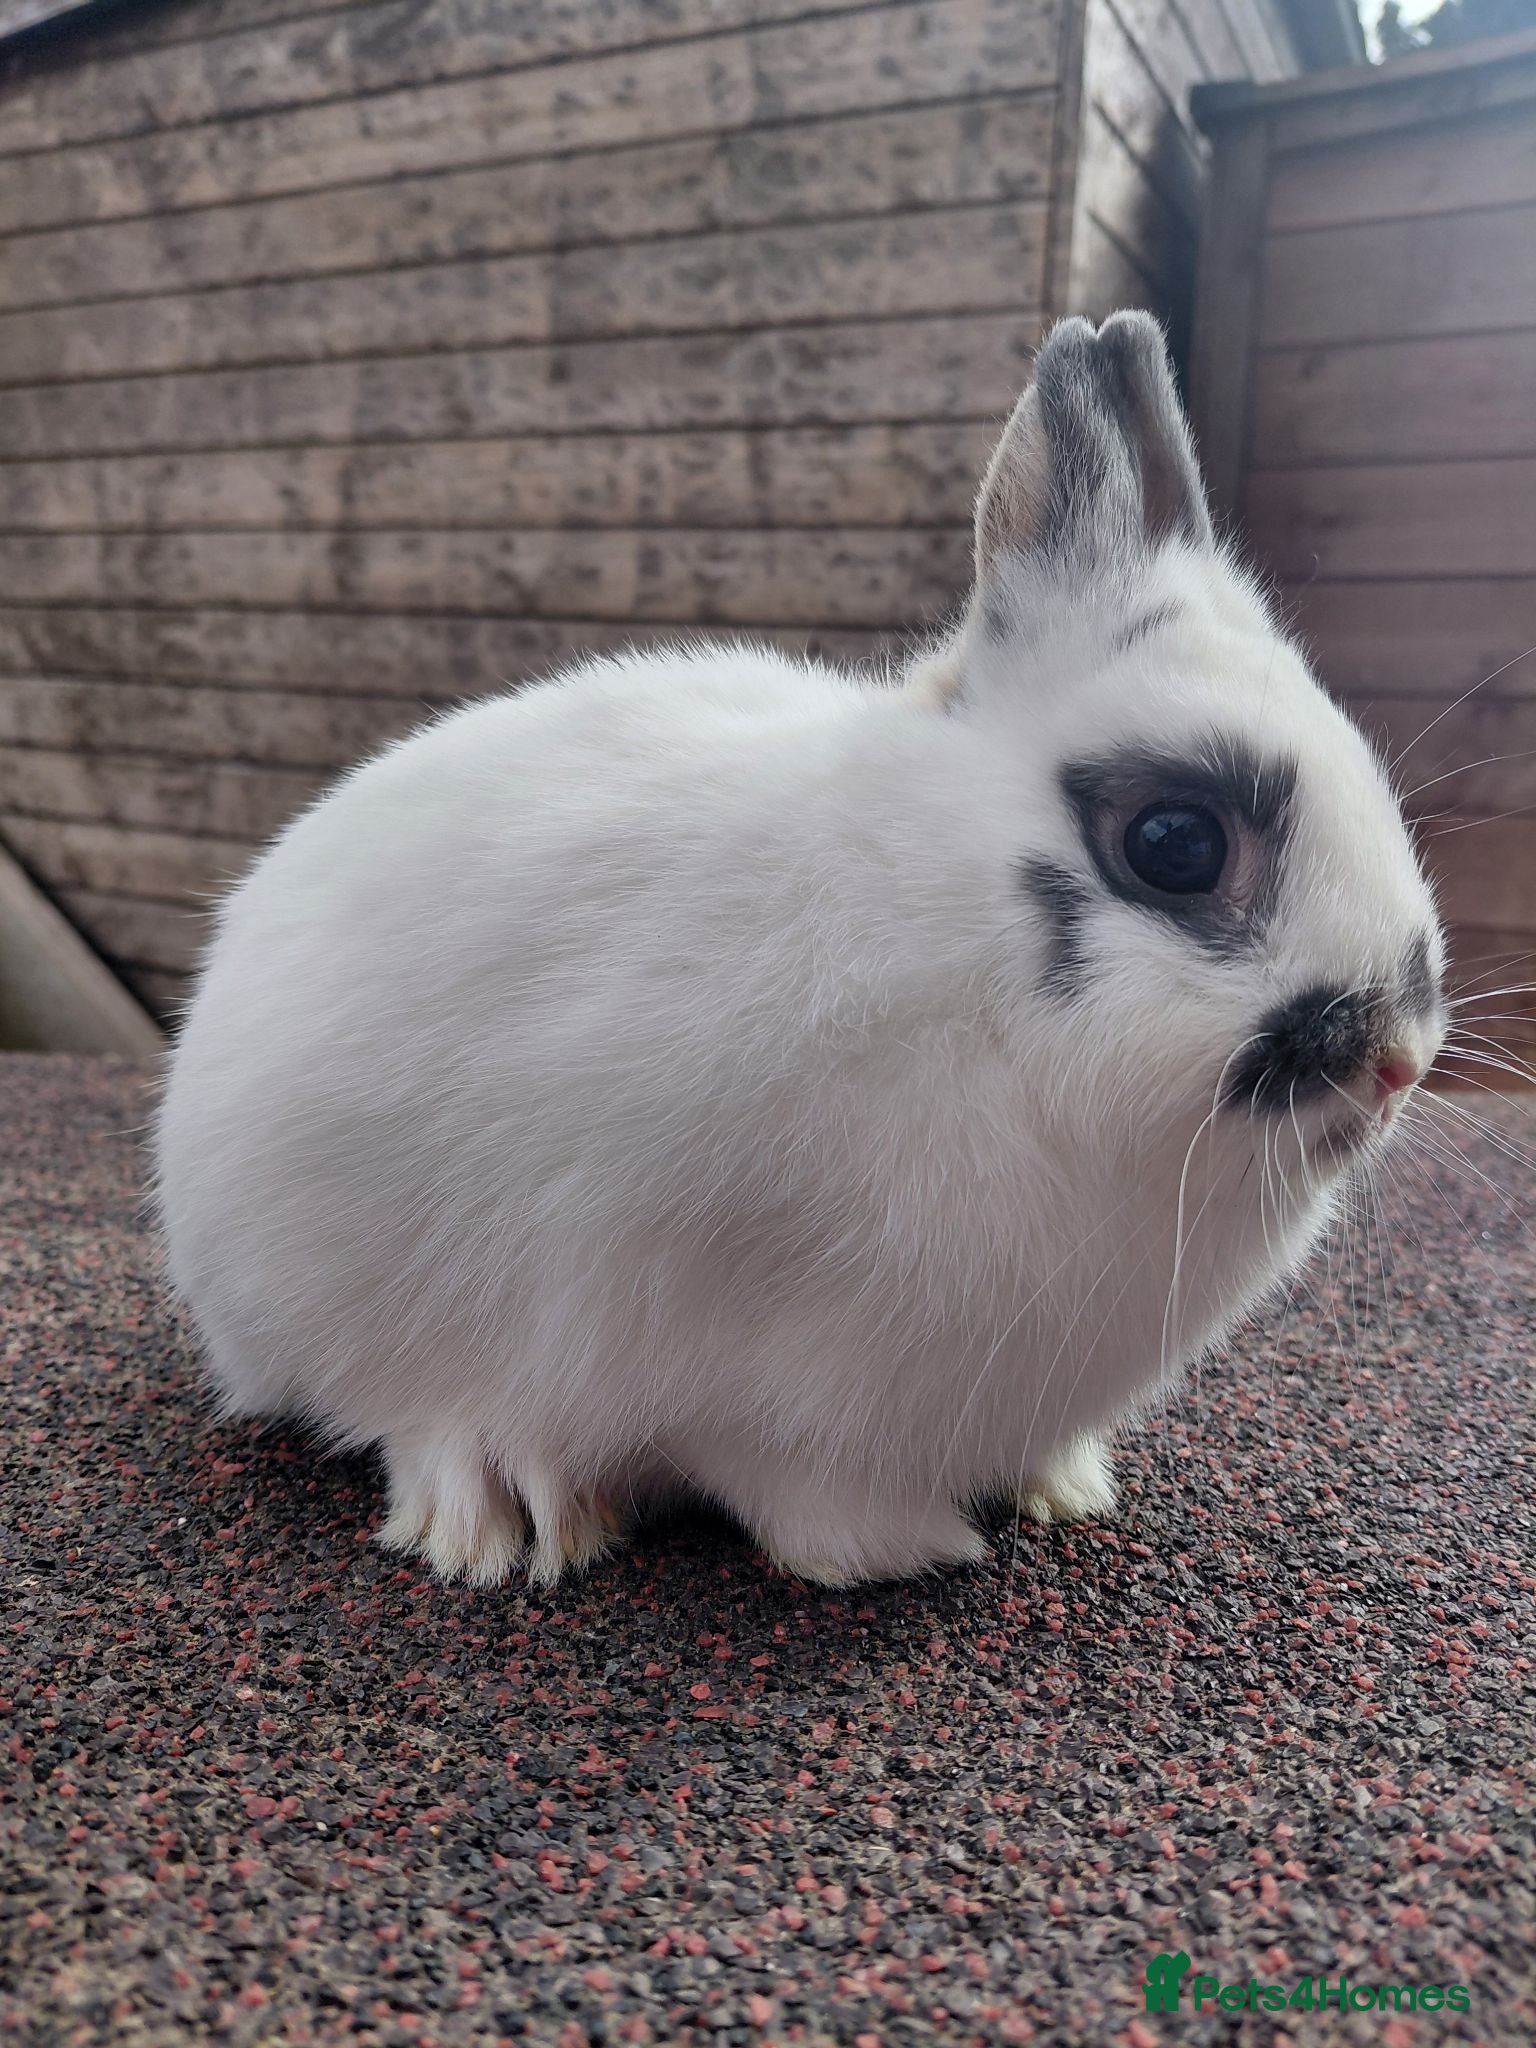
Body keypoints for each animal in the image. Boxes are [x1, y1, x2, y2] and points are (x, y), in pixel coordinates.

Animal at [155, 312, 1447, 1590]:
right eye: (1175, 842)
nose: (1398, 1061)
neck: (949, 958)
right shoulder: (726, 1354)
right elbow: (791, 1490)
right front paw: (918, 1546)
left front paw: (1064, 1486)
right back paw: (498, 1507)